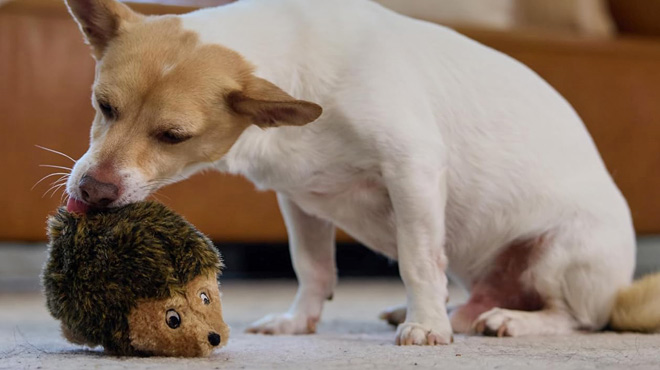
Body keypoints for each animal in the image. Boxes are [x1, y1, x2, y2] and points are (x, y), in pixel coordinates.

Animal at [64, 0, 656, 344]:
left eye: (173, 136)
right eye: (103, 106)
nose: (90, 191)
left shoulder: (413, 168)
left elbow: (418, 262)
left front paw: (426, 327)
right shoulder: (300, 201)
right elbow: (313, 269)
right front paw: (299, 322)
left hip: (556, 257)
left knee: (578, 317)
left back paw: (512, 319)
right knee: (474, 292)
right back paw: (453, 310)